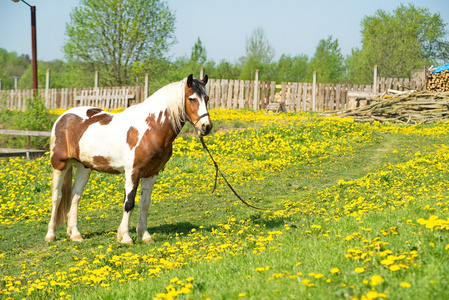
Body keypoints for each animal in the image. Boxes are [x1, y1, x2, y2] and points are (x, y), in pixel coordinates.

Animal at [45, 74, 212, 244]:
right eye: (191, 98)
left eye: (206, 98)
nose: (206, 127)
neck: (151, 128)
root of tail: (63, 117)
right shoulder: (133, 171)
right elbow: (129, 202)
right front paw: (125, 237)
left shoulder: (152, 173)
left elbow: (145, 203)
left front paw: (144, 235)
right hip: (60, 165)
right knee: (57, 197)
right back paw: (50, 235)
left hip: (84, 167)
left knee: (75, 197)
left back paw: (75, 234)